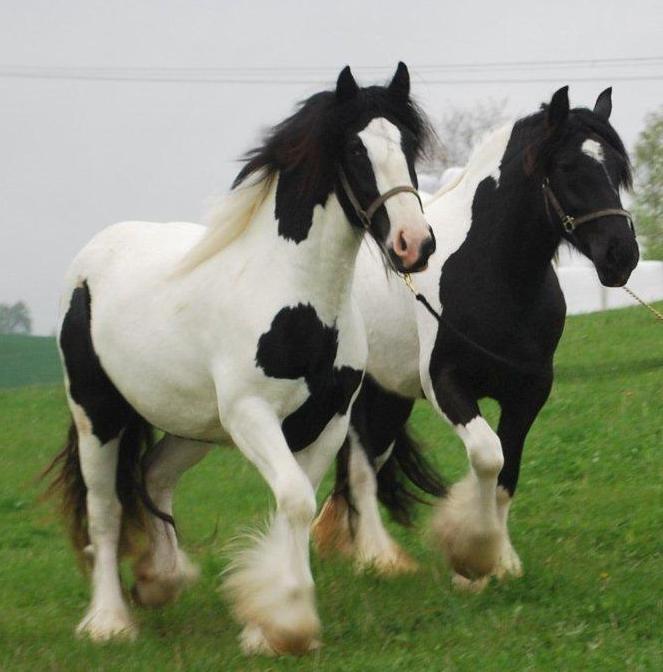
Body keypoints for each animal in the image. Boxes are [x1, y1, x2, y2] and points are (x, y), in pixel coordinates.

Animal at [45, 62, 436, 655]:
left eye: (409, 144)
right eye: (355, 149)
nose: (415, 244)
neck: (296, 297)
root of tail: (90, 259)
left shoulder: (327, 421)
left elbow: (295, 503)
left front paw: (268, 624)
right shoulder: (253, 415)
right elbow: (294, 500)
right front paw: (287, 621)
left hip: (192, 424)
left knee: (153, 476)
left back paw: (161, 579)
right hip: (97, 414)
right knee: (106, 509)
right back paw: (110, 621)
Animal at [313, 86, 639, 588]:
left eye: (618, 168)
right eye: (568, 167)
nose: (622, 254)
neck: (494, 272)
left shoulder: (529, 391)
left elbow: (508, 473)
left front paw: (501, 561)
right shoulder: (446, 383)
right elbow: (488, 456)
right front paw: (471, 557)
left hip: (390, 397)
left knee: (368, 465)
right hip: (358, 397)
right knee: (361, 469)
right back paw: (377, 559)